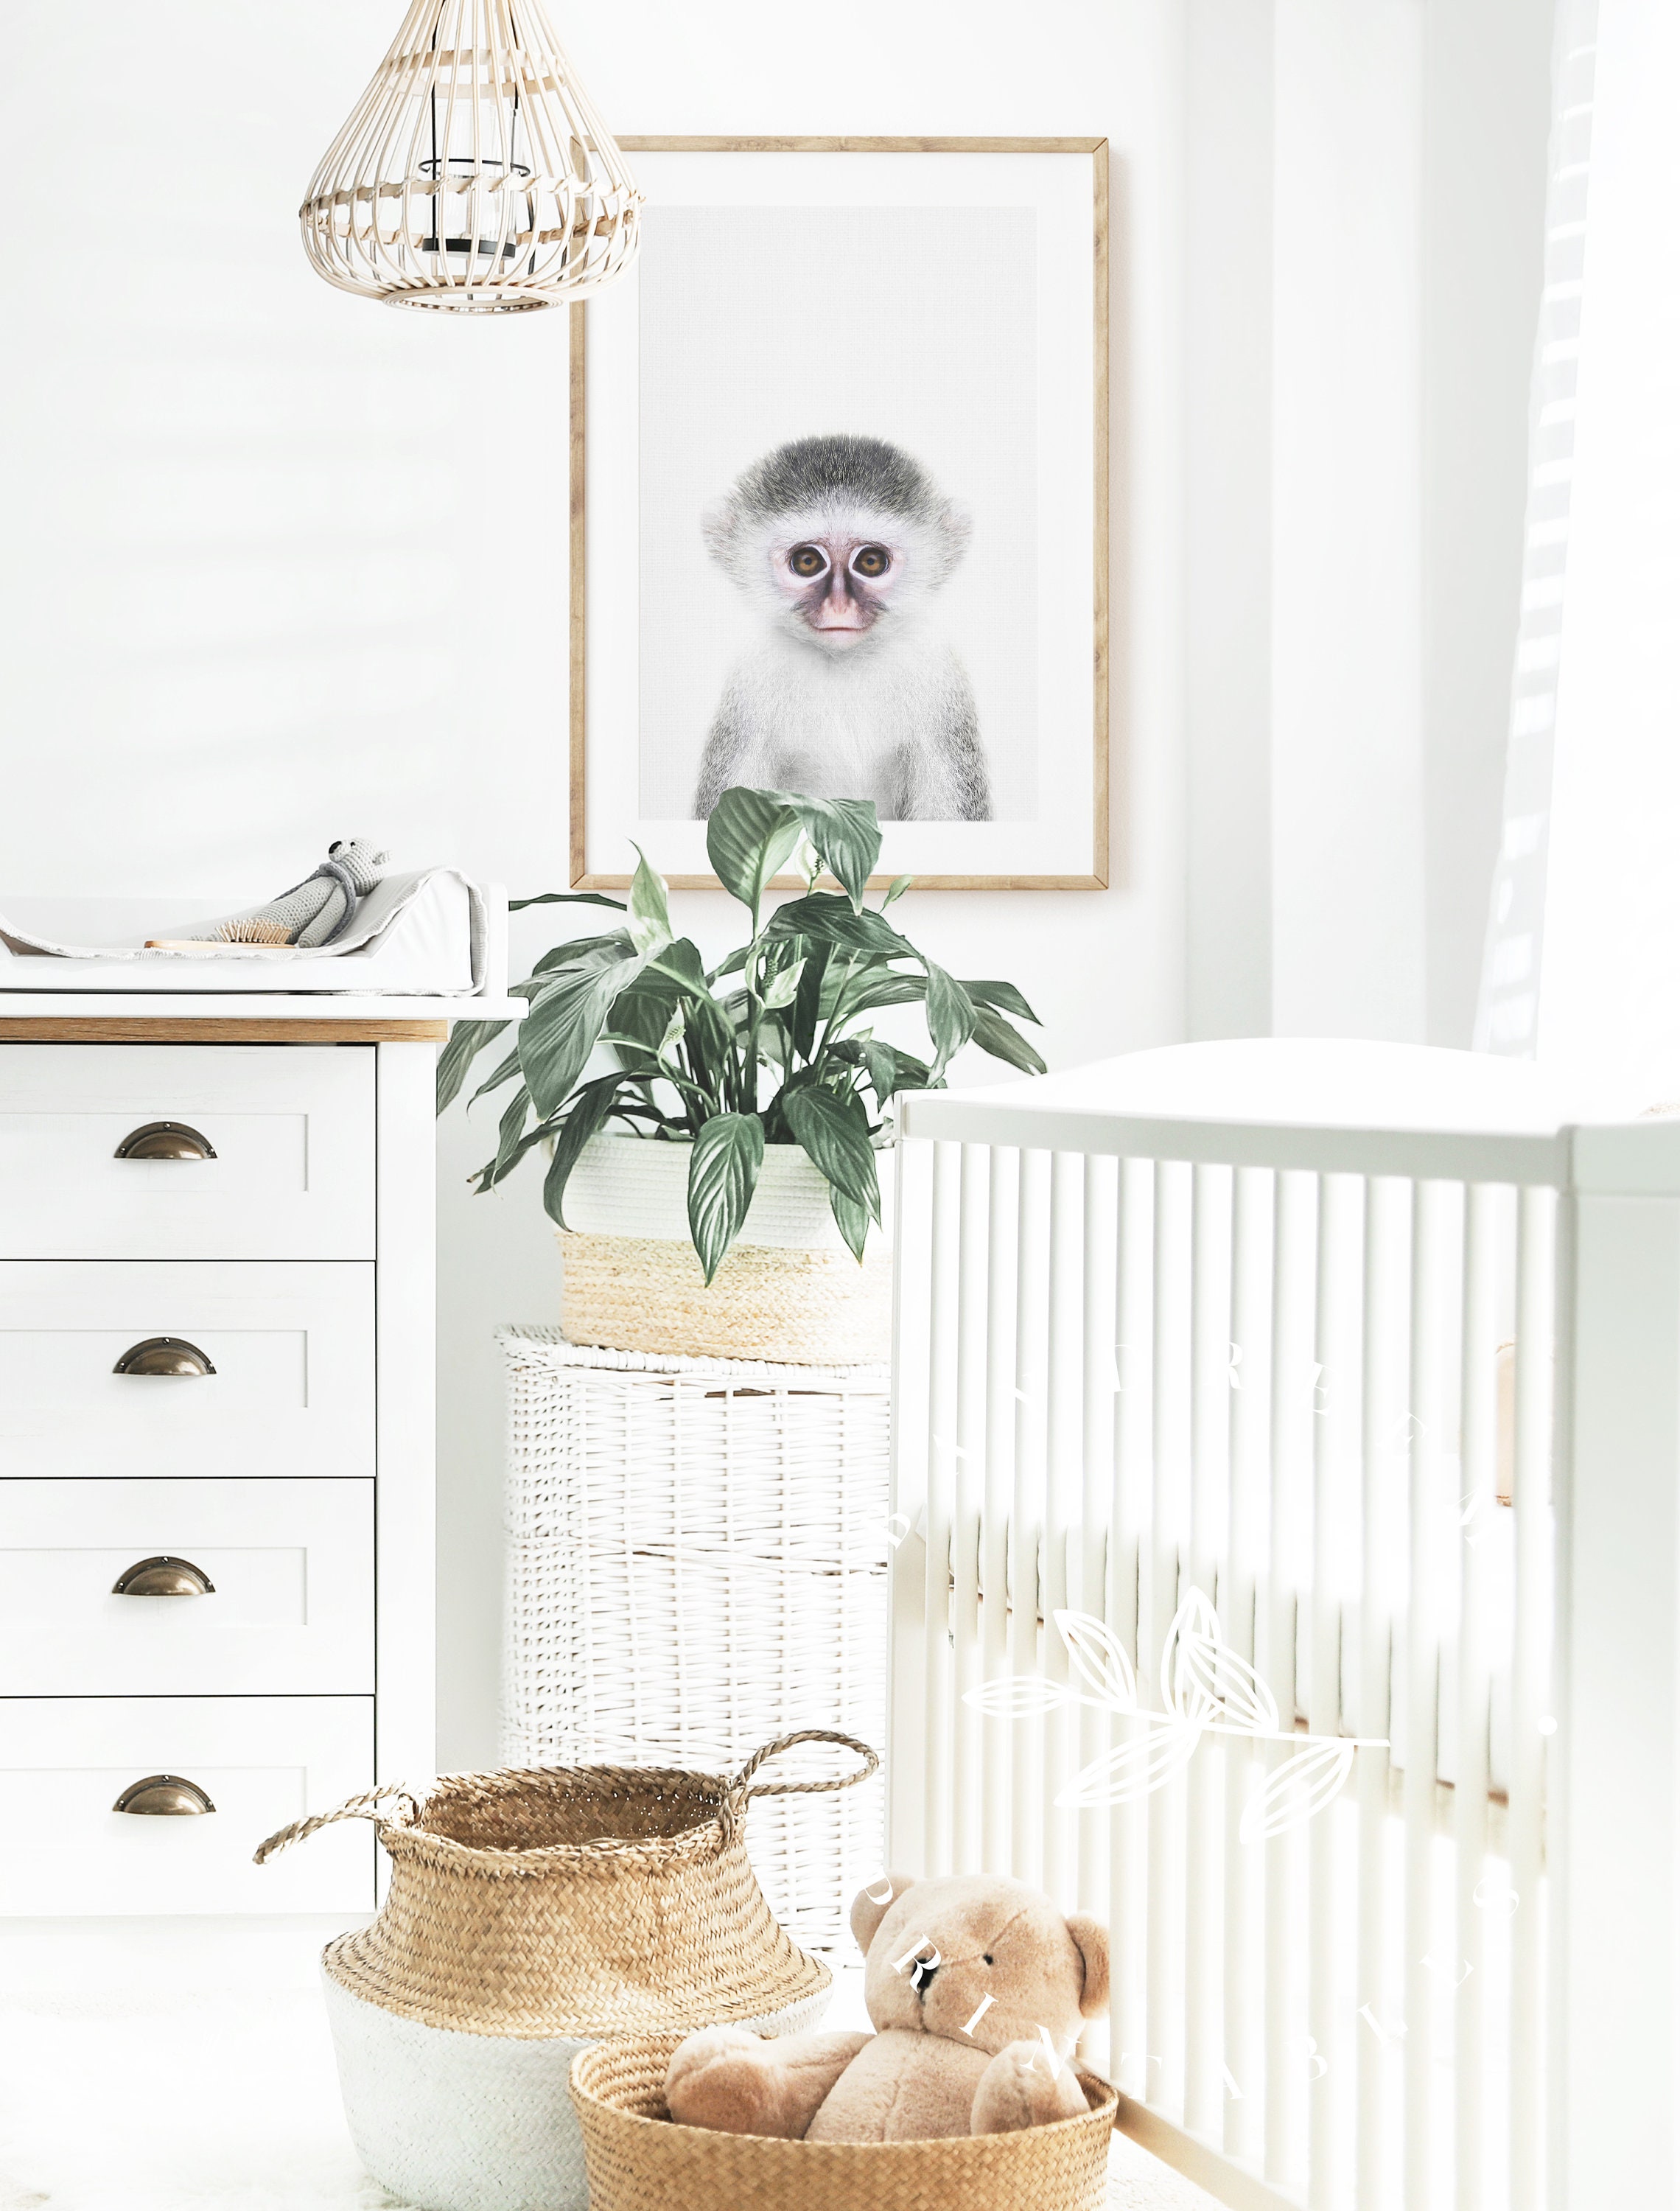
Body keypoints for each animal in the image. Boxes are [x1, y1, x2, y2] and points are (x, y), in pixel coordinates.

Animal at [692, 434, 992, 821]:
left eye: (871, 562)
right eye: (807, 561)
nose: (839, 607)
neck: (842, 665)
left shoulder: (938, 677)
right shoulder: (750, 682)